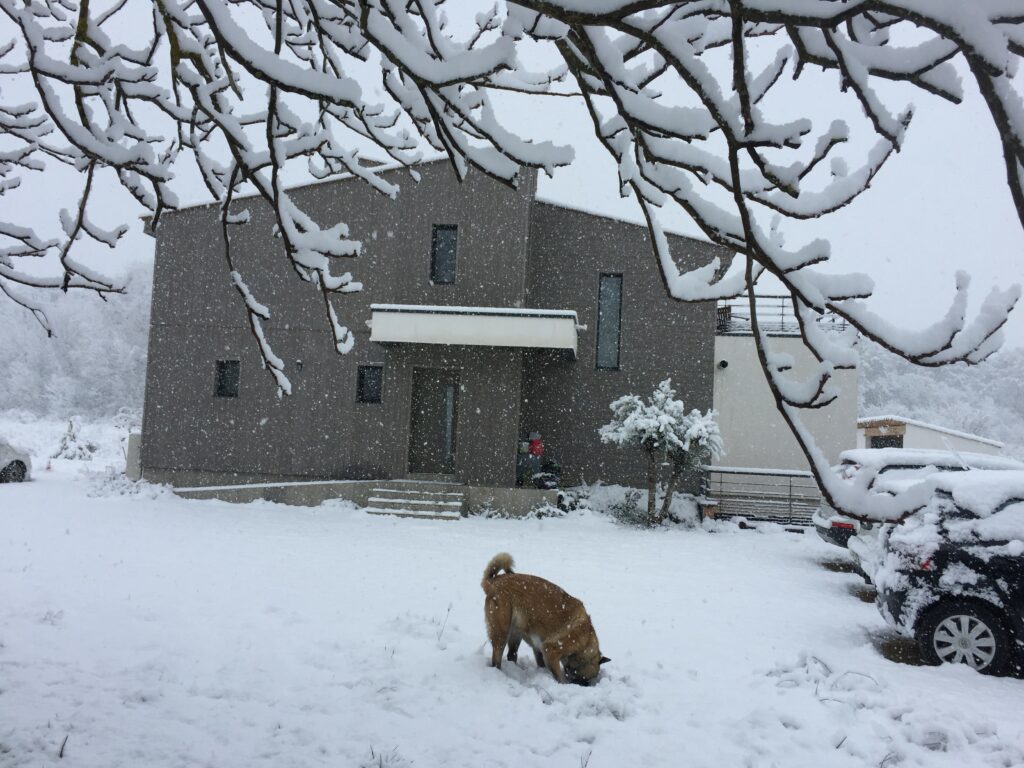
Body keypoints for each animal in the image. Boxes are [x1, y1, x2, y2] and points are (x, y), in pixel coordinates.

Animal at [481, 552, 606, 684]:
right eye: (585, 680)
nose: (585, 685)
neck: (586, 640)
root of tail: (493, 581)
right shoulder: (550, 651)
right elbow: (559, 677)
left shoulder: (539, 649)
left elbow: (541, 664)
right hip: (502, 633)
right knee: (496, 659)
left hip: (515, 634)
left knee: (511, 655)